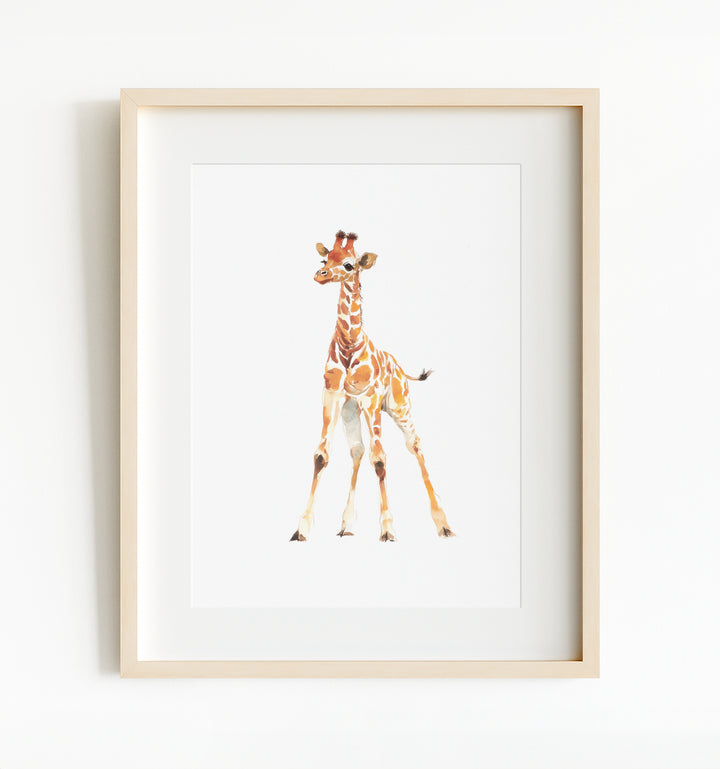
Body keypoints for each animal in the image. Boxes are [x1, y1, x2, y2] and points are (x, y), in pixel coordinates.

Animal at [290, 230, 455, 542]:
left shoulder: (371, 400)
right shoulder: (333, 396)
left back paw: (444, 525)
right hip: (351, 412)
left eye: (349, 264)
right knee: (357, 450)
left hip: (398, 406)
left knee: (414, 444)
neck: (349, 345)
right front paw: (301, 529)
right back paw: (346, 526)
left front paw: (388, 530)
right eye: (325, 259)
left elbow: (380, 459)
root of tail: (400, 368)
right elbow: (321, 455)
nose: (320, 275)